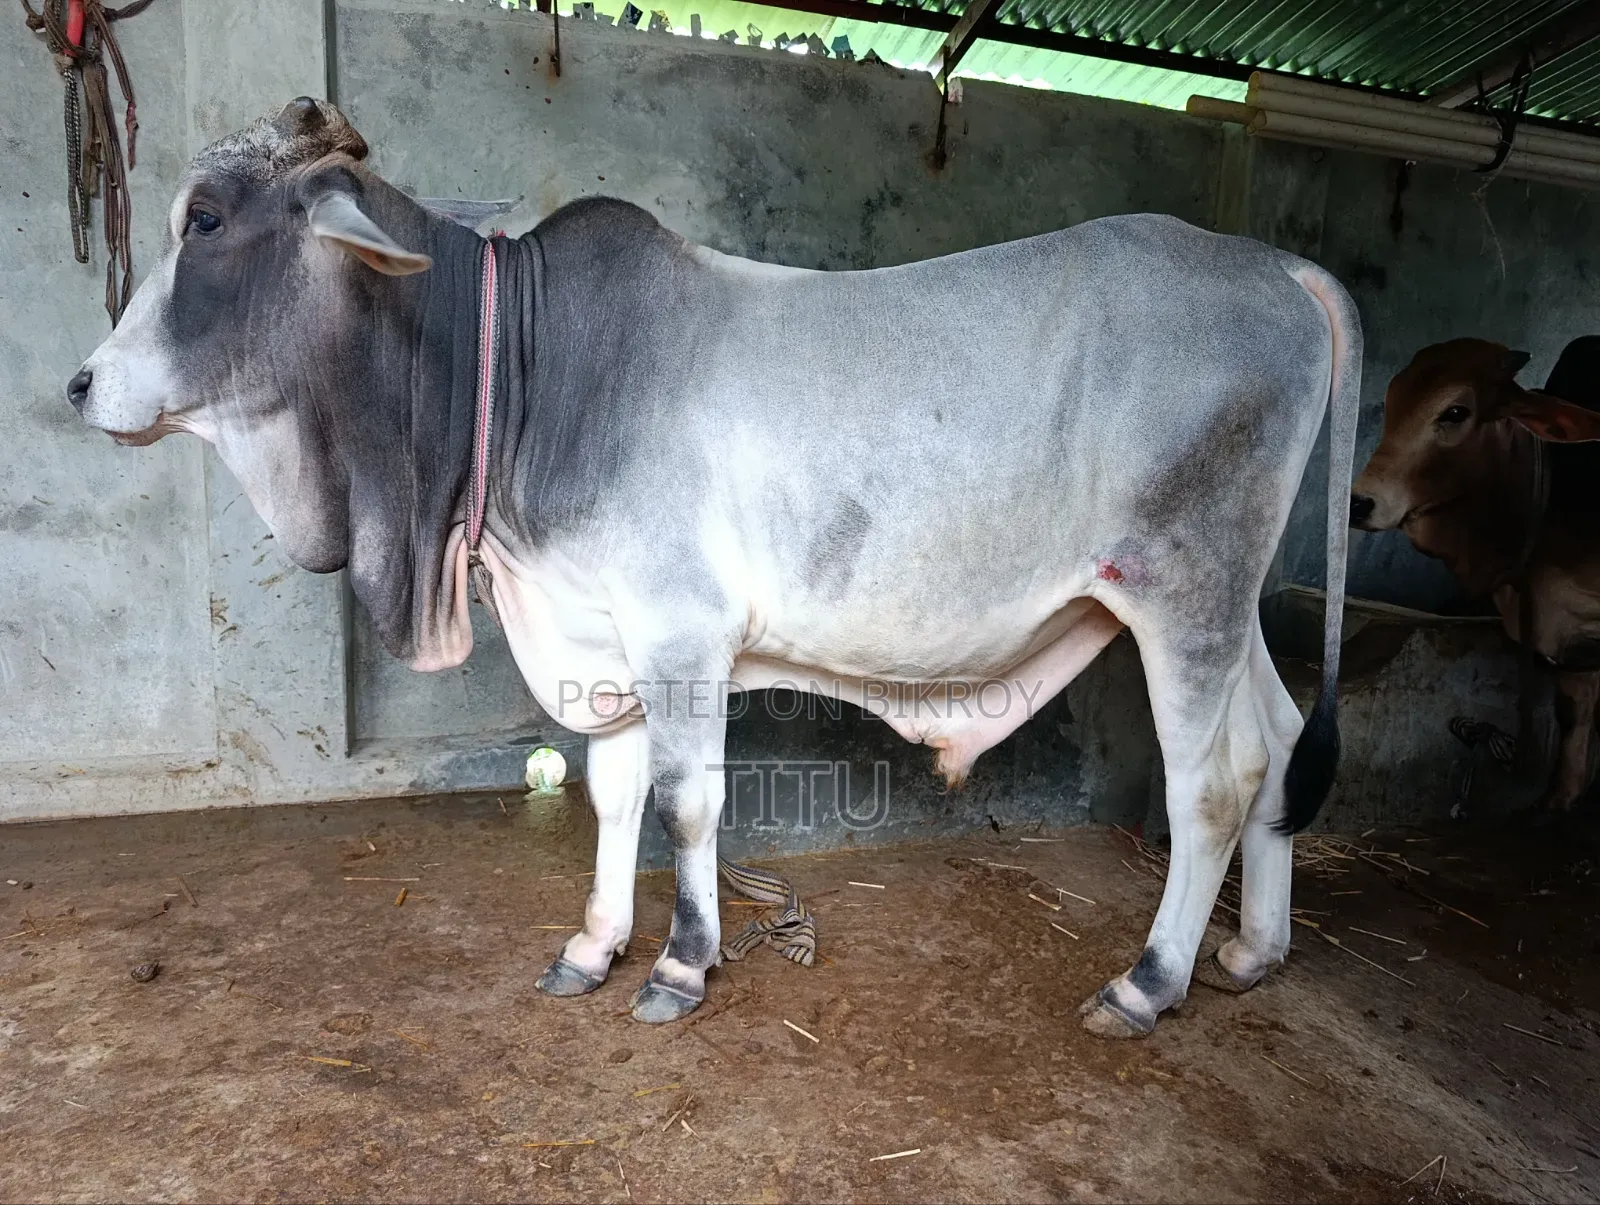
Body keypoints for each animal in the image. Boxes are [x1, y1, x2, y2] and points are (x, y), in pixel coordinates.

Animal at [65, 98, 1361, 1038]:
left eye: (206, 221)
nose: (80, 384)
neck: (530, 376)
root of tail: (1275, 266)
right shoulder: (603, 634)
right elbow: (611, 790)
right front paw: (592, 943)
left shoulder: (680, 630)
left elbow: (686, 803)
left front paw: (683, 965)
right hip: (1224, 605)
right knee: (1281, 745)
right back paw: (1250, 949)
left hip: (1183, 593)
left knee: (1213, 782)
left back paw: (1148, 980)